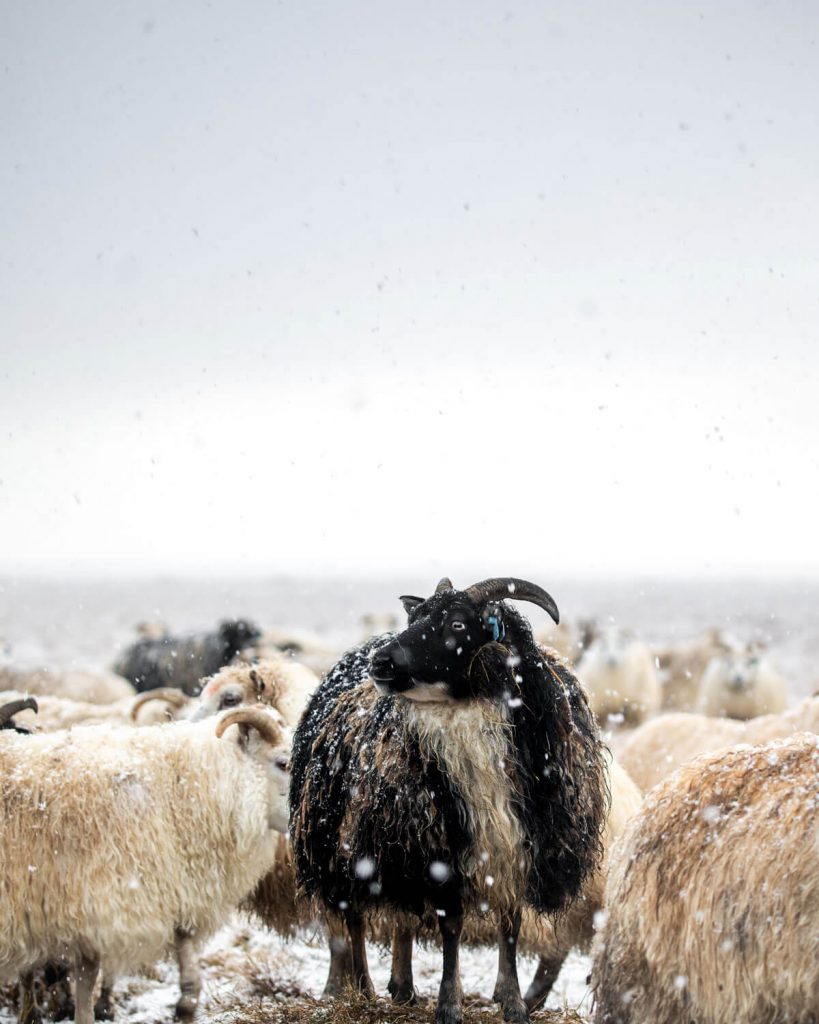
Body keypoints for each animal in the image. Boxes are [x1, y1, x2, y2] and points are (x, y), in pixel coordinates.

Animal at [0, 704, 292, 1024]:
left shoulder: (172, 892)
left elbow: (188, 978)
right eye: (284, 763)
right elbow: (86, 979)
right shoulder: (100, 902)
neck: (178, 790)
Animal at [288, 577, 606, 1024]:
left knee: (401, 916)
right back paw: (364, 990)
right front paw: (449, 1006)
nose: (381, 663)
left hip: (395, 842)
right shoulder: (441, 848)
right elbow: (451, 925)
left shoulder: (516, 847)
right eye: (414, 618)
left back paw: (403, 988)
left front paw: (513, 1003)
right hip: (344, 839)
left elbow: (510, 925)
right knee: (354, 916)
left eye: (457, 623)